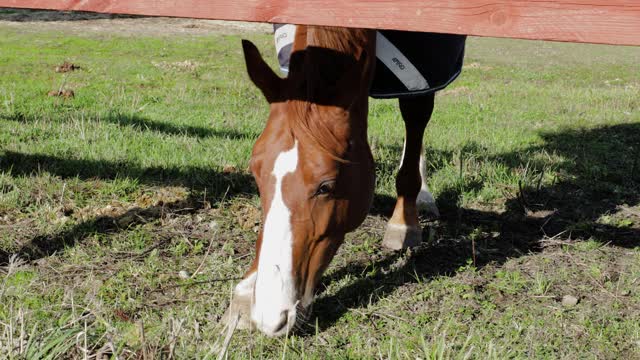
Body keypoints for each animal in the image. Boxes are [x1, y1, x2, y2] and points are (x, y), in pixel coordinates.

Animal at [225, 26, 450, 338]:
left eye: (326, 186)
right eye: (256, 173)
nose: (271, 317)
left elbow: (416, 114)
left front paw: (404, 221)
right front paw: (248, 288)